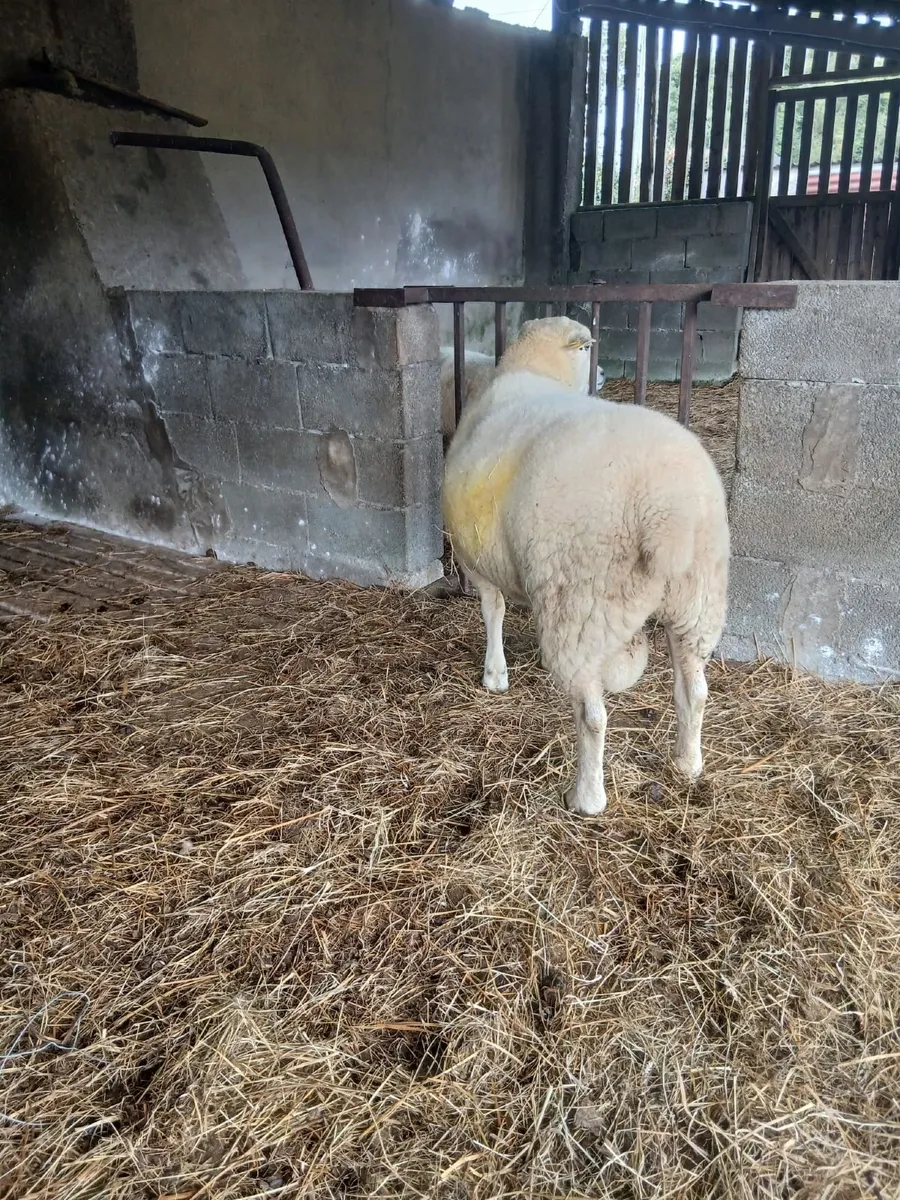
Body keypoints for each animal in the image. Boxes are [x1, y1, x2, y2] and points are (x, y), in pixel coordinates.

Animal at [442, 315, 729, 816]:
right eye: (586, 350)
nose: (602, 374)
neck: (534, 369)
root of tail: (666, 510)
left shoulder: (478, 559)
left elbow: (492, 612)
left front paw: (495, 674)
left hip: (583, 600)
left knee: (592, 716)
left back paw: (587, 797)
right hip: (698, 601)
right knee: (695, 691)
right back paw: (687, 763)